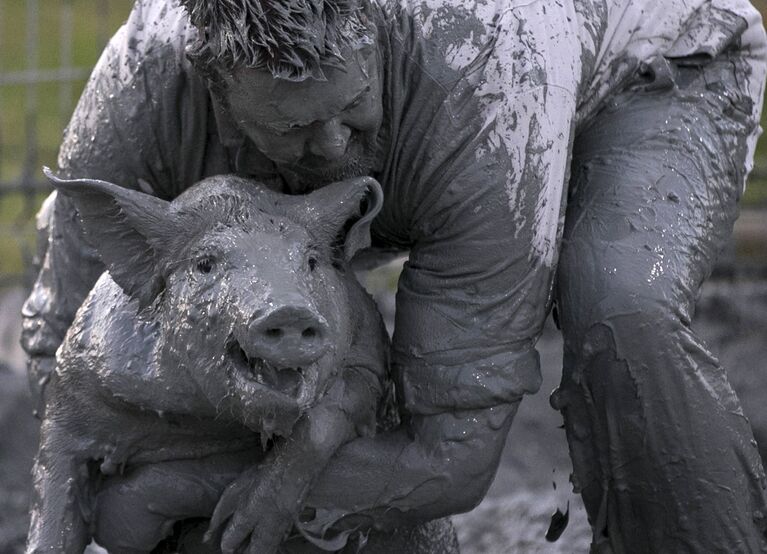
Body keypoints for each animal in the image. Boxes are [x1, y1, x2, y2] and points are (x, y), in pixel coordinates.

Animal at [27, 169, 392, 552]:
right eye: (205, 264)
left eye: (310, 262)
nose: (289, 311)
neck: (208, 420)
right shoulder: (74, 383)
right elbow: (56, 483)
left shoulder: (370, 351)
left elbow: (329, 415)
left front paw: (237, 537)